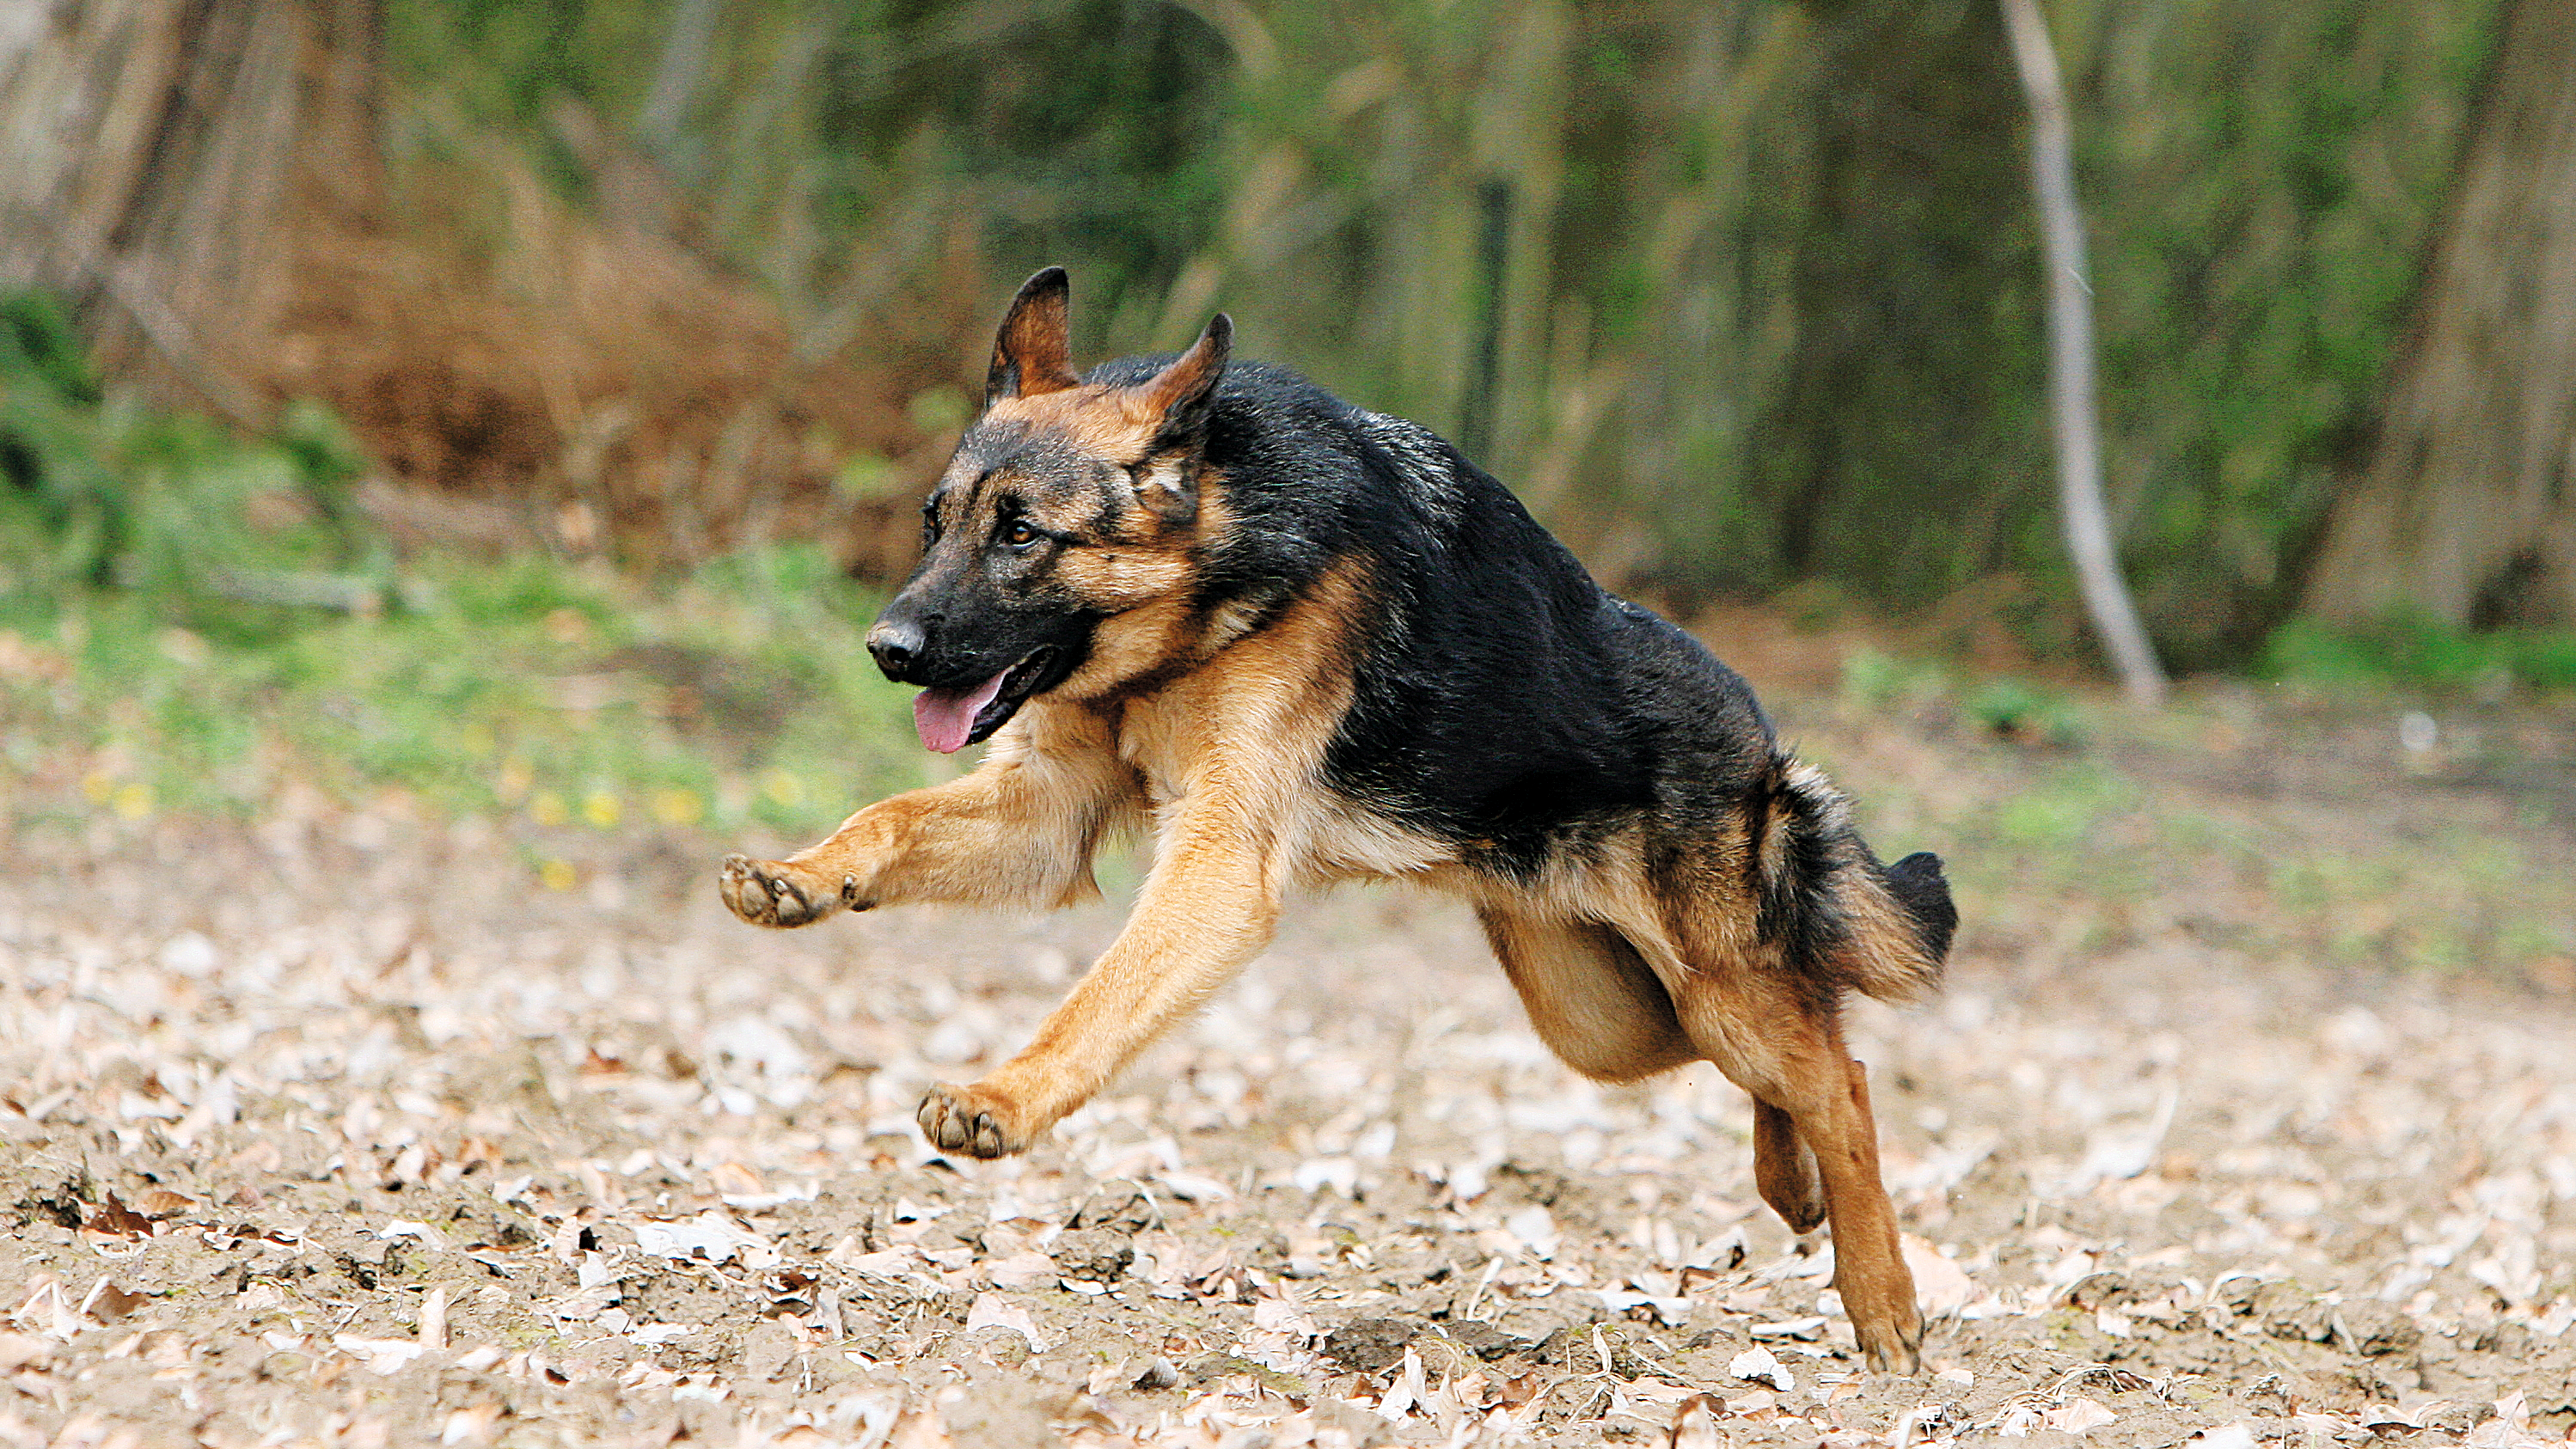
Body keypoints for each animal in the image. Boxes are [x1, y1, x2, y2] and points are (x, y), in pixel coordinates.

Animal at [716, 268, 1957, 1369]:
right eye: (938, 524)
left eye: (1023, 535)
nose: (887, 649)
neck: (1210, 580)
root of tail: (1763, 743)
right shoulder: (1047, 814)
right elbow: (885, 818)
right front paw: (800, 876)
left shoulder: (1217, 868)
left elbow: (1097, 998)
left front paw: (1003, 1094)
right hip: (1611, 1021)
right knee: (1806, 1047)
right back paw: (1790, 1186)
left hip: (1709, 992)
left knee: (1838, 1078)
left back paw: (1883, 1301)